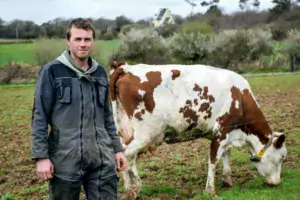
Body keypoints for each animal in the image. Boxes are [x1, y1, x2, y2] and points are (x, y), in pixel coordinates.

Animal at [109, 61, 288, 199]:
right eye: (282, 157)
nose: (277, 183)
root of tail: (126, 68)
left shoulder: (227, 134)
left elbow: (226, 154)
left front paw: (227, 180)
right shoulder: (221, 132)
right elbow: (213, 160)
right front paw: (210, 190)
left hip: (124, 131)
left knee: (121, 155)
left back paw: (128, 187)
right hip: (145, 134)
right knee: (128, 155)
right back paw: (135, 189)